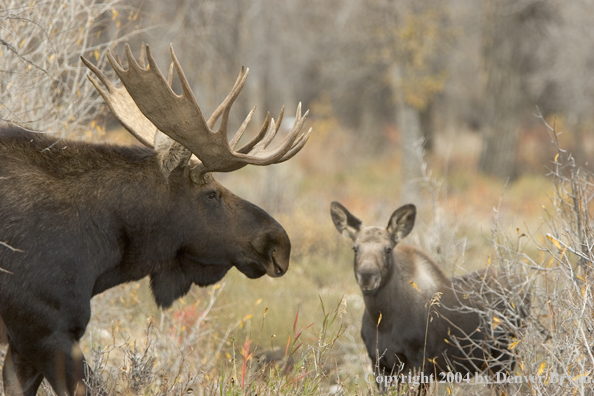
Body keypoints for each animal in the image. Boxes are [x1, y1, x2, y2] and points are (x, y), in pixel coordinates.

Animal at [328, 203, 528, 392]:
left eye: (388, 249)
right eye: (355, 248)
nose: (367, 276)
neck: (383, 319)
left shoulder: (419, 365)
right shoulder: (379, 364)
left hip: (503, 358)